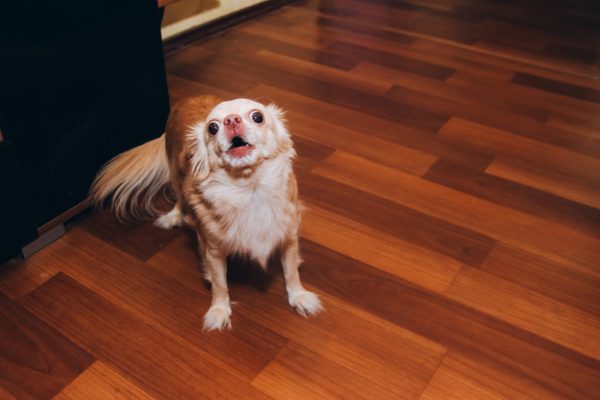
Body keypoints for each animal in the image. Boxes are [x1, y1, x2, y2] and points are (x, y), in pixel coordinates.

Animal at [89, 95, 324, 330]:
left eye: (258, 117)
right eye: (212, 128)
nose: (231, 120)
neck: (249, 189)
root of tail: (188, 99)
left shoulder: (288, 237)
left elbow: (291, 271)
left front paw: (298, 296)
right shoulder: (213, 250)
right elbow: (219, 284)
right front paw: (219, 310)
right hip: (175, 174)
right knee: (180, 198)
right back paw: (173, 216)